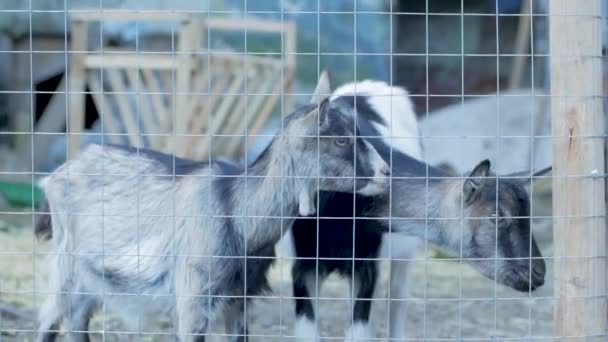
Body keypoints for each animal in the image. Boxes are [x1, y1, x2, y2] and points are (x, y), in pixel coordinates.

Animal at [36, 73, 390, 342]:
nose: (386, 172)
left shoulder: (239, 299)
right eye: (341, 140)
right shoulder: (193, 297)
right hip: (66, 265)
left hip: (89, 279)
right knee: (50, 320)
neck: (237, 211)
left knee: (77, 323)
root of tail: (57, 174)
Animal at [280, 80, 552, 340]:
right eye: (496, 216)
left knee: (397, 301)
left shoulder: (366, 265)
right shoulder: (304, 265)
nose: (538, 273)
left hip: (403, 257)